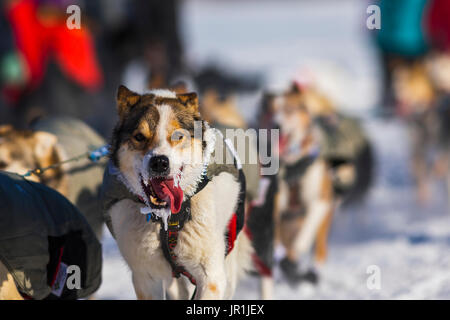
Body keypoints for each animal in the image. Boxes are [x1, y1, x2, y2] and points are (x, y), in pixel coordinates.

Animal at [103, 85, 253, 300]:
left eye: (178, 136)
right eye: (139, 136)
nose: (159, 162)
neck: (166, 219)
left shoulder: (212, 278)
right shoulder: (145, 277)